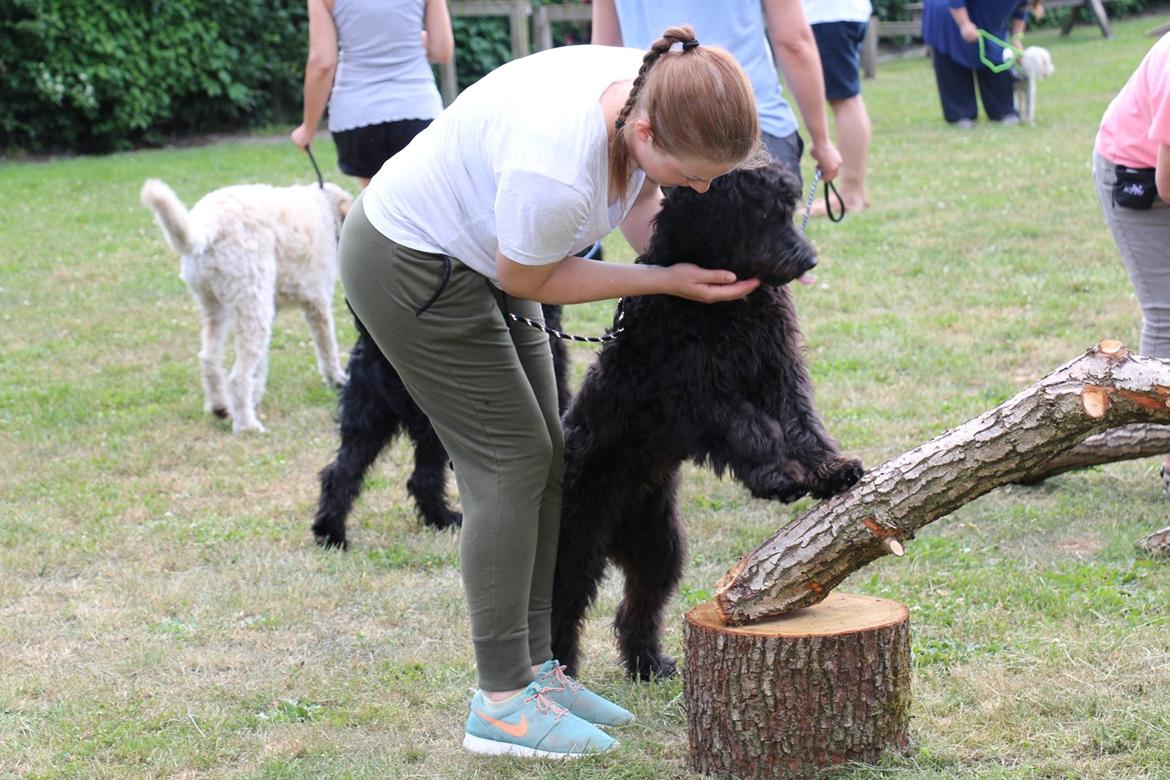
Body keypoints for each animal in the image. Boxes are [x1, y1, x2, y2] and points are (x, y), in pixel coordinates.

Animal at [142, 178, 351, 432]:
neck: (327, 207)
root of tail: (210, 222)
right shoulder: (316, 302)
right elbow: (327, 347)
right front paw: (337, 379)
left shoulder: (271, 309)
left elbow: (261, 364)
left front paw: (256, 393)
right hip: (253, 310)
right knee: (237, 377)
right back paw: (247, 426)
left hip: (220, 309)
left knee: (209, 360)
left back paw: (220, 407)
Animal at [552, 160, 865, 682]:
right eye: (759, 213)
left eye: (787, 208)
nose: (808, 261)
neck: (727, 305)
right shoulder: (697, 394)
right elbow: (755, 429)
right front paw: (780, 477)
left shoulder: (777, 366)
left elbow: (801, 420)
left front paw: (831, 469)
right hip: (577, 541)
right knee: (561, 609)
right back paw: (561, 676)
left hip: (656, 544)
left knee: (637, 606)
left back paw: (649, 663)